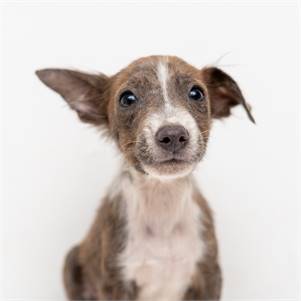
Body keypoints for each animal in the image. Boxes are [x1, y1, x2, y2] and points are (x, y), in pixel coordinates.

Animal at [36, 55, 254, 298]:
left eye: (196, 93)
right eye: (127, 99)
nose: (173, 135)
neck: (163, 200)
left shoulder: (209, 276)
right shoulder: (115, 281)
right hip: (70, 262)